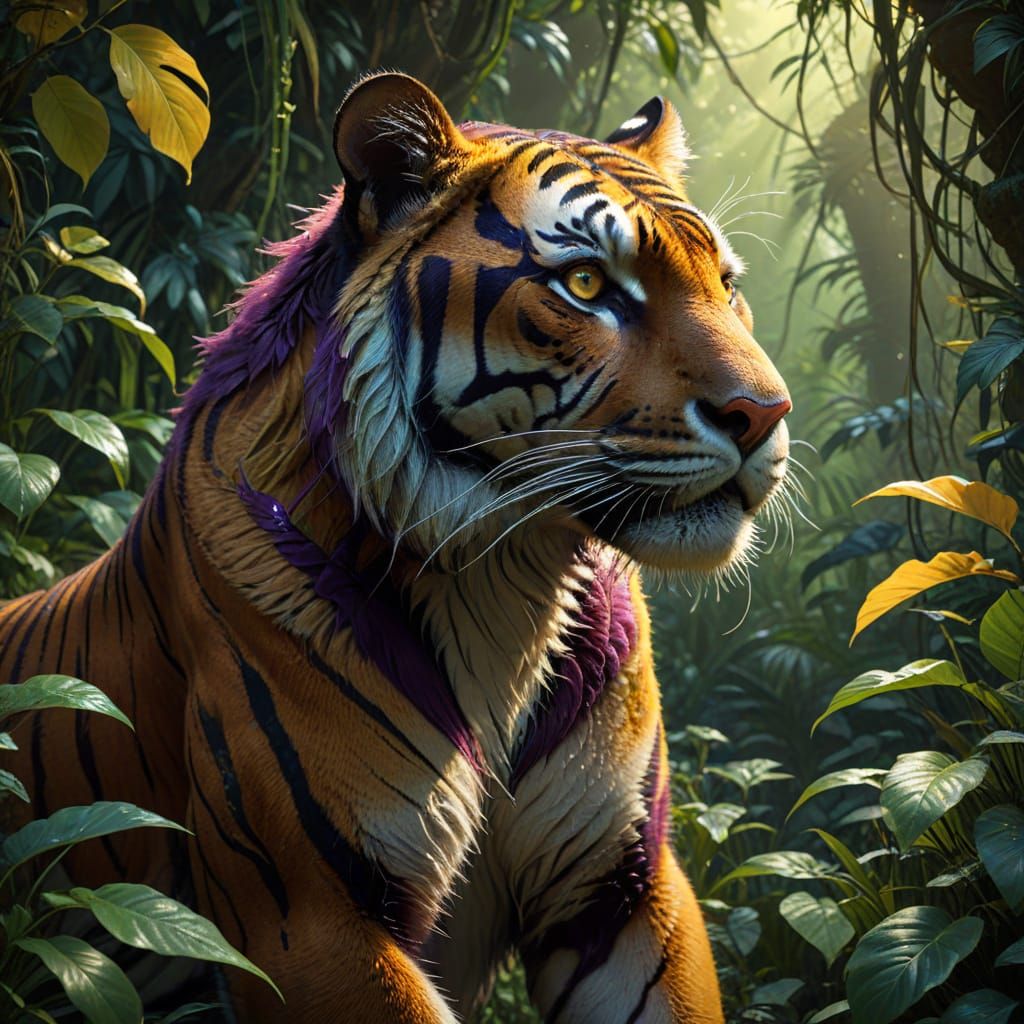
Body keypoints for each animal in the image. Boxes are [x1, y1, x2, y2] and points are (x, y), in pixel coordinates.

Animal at [0, 72, 791, 1022]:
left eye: (726, 284)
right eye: (587, 283)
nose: (765, 413)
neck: (507, 579)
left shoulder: (625, 885)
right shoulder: (310, 917)